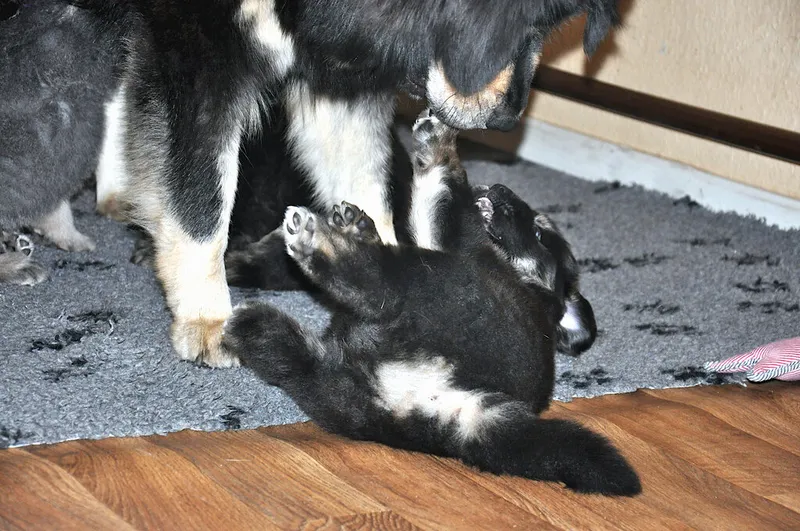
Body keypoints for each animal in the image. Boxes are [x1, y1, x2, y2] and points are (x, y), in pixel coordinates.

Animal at [80, 0, 620, 366]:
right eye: (528, 28)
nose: (509, 121)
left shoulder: (340, 78)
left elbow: (363, 184)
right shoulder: (202, 52)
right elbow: (202, 202)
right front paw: (207, 319)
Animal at [222, 111, 638, 495]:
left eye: (538, 233)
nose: (501, 189)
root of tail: (452, 403)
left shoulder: (455, 244)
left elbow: (440, 195)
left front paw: (437, 144)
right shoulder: (436, 238)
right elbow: (429, 199)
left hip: (449, 292)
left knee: (380, 284)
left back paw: (317, 243)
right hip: (339, 388)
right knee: (296, 361)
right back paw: (256, 324)